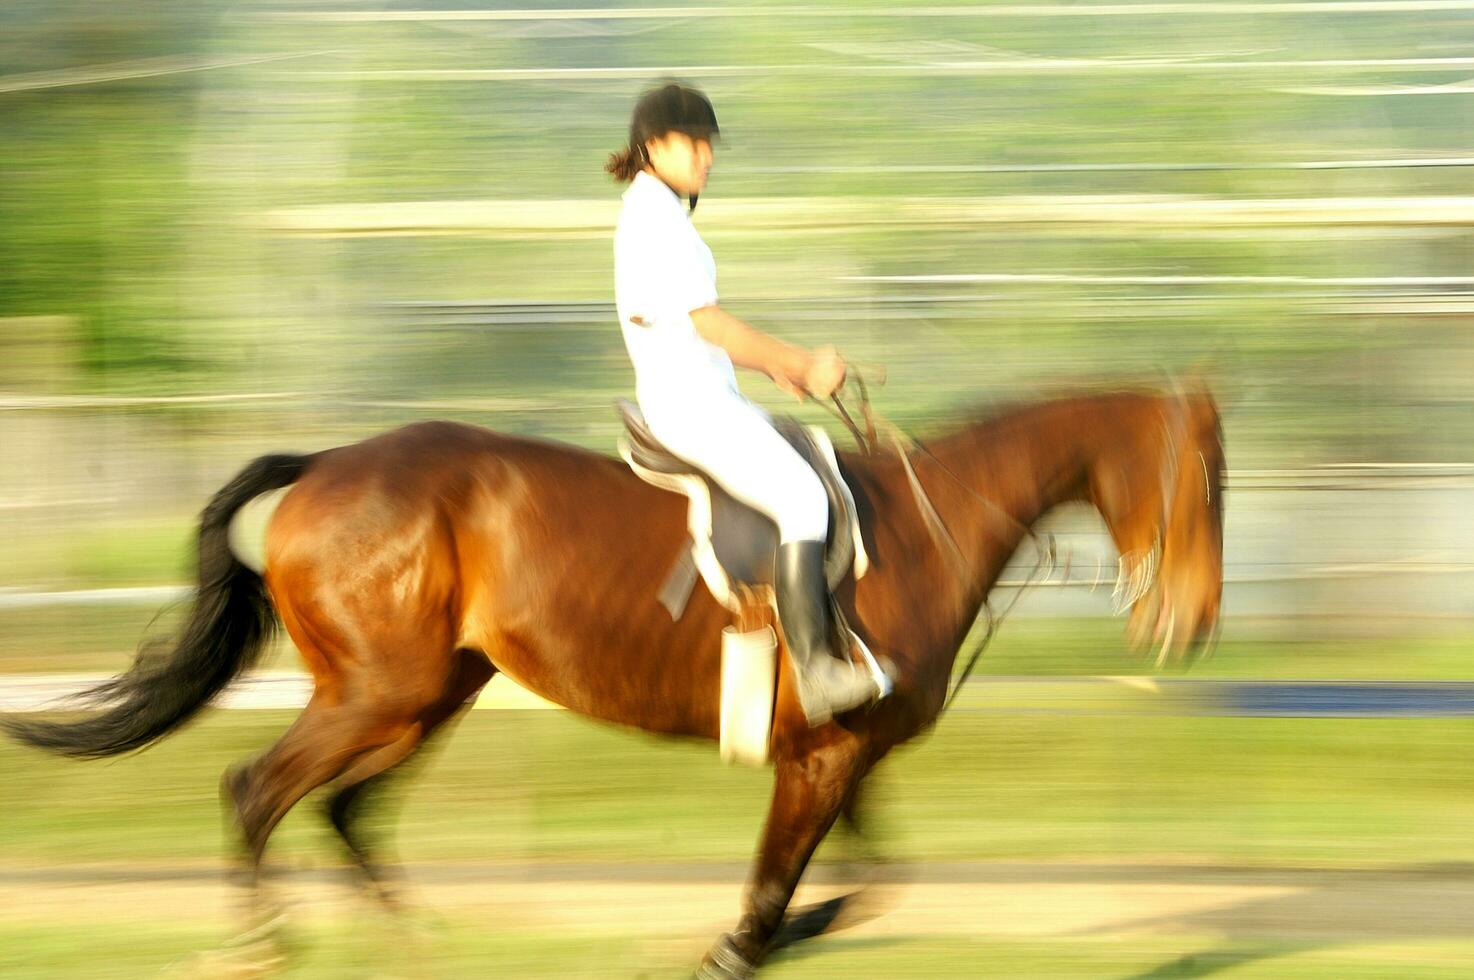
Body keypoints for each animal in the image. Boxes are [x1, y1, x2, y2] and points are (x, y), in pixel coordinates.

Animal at [5, 386, 1226, 972]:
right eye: (1206, 481)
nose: (1195, 621)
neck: (921, 532)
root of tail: (322, 470)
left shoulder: (840, 756)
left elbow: (864, 883)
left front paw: (760, 939)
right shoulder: (824, 754)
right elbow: (776, 892)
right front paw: (727, 949)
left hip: (423, 696)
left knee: (346, 808)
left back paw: (413, 947)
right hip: (376, 693)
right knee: (258, 790)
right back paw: (265, 950)